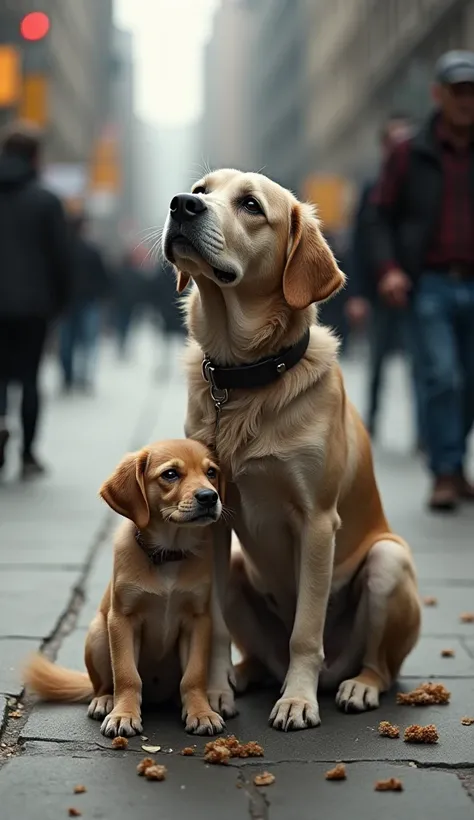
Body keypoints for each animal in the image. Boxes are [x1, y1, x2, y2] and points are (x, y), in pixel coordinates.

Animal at [25, 438, 227, 740]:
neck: (167, 553)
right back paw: (105, 701)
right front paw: (124, 715)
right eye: (170, 474)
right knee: (103, 684)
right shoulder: (122, 619)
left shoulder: (198, 621)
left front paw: (201, 712)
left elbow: (193, 676)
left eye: (211, 472)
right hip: (98, 632)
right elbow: (126, 675)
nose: (209, 497)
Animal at [162, 171, 418, 732]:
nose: (181, 204)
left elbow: (306, 629)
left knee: (379, 664)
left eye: (251, 206)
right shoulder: (213, 522)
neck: (244, 378)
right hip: (239, 568)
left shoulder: (317, 521)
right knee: (259, 654)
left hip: (387, 561)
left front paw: (298, 701)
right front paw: (214, 692)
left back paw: (356, 686)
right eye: (201, 189)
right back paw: (243, 675)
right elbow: (215, 624)